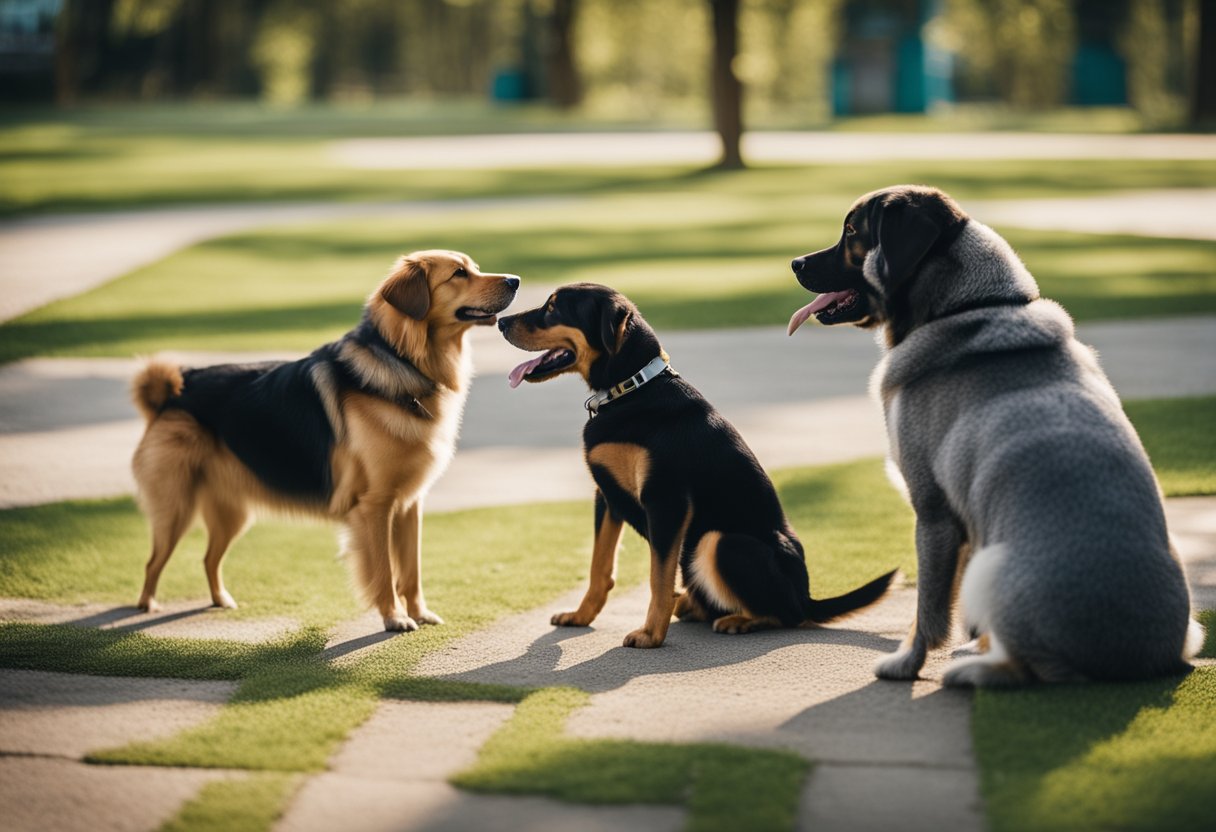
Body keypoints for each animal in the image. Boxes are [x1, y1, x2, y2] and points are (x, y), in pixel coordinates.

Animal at [131, 250, 518, 632]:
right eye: (458, 274)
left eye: (475, 268)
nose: (515, 280)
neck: (403, 358)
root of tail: (173, 393)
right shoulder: (375, 506)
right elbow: (385, 570)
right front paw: (395, 617)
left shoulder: (409, 505)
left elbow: (411, 570)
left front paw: (420, 613)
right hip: (175, 509)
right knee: (153, 562)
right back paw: (147, 605)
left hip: (232, 512)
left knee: (209, 558)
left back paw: (220, 600)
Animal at [493, 285, 894, 651]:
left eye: (553, 308)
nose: (500, 322)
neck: (630, 389)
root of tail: (807, 596)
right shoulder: (606, 496)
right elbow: (599, 567)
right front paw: (581, 616)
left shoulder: (665, 500)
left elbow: (657, 577)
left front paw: (651, 635)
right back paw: (692, 604)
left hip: (719, 541)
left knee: (786, 614)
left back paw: (738, 620)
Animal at [787, 188, 1206, 690]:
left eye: (852, 232)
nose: (795, 263)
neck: (972, 305)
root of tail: (1142, 660)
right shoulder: (965, 516)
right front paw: (971, 643)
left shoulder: (933, 512)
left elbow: (928, 609)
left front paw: (908, 663)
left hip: (994, 563)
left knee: (1034, 669)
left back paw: (974, 672)